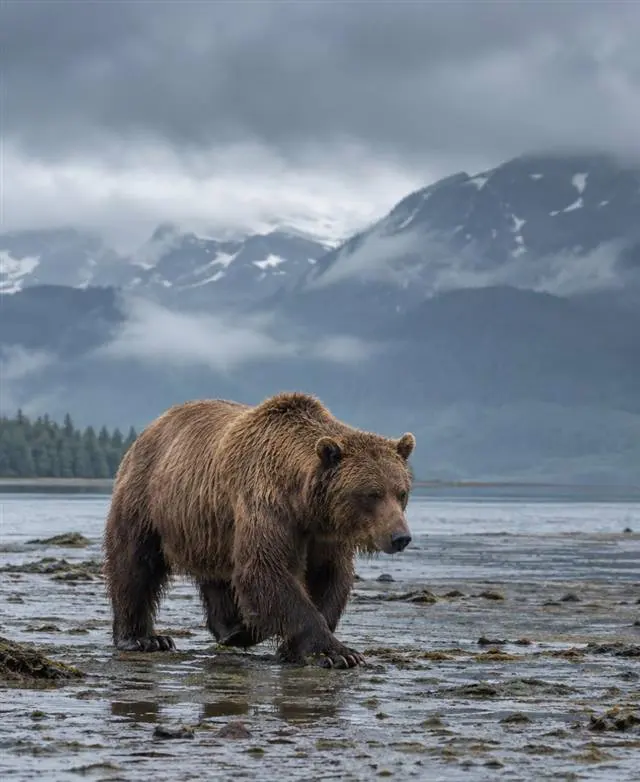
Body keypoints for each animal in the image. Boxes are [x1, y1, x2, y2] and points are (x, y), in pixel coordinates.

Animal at [103, 391, 416, 669]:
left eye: (401, 492)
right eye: (371, 494)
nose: (400, 537)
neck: (302, 501)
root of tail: (153, 425)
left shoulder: (325, 533)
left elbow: (330, 577)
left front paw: (293, 648)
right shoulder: (266, 505)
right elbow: (265, 569)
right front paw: (337, 653)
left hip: (211, 526)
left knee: (218, 577)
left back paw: (234, 630)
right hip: (147, 499)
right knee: (134, 561)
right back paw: (143, 638)